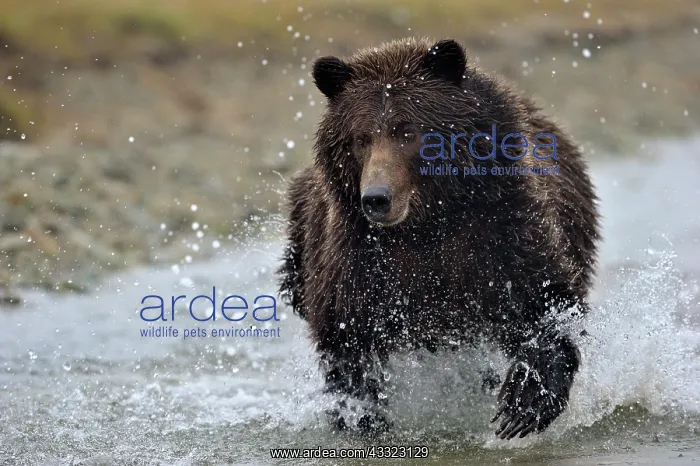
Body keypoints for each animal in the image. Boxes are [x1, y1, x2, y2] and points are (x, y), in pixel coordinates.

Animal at [278, 37, 600, 440]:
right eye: (360, 138)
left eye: (407, 131)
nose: (376, 198)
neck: (427, 224)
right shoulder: (356, 258)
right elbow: (348, 338)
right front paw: (361, 417)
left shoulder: (502, 228)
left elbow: (543, 301)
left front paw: (523, 403)